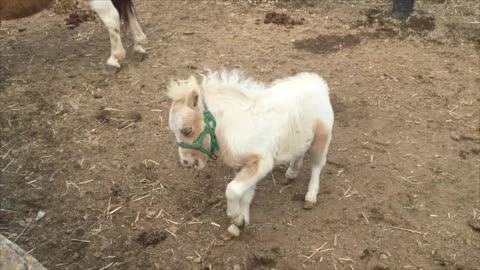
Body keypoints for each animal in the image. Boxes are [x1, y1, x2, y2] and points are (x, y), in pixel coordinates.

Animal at [168, 70, 334, 237]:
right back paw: (291, 174)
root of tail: (318, 81)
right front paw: (240, 224)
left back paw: (310, 197)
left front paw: (236, 219)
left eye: (187, 130)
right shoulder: (242, 166)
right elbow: (245, 195)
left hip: (321, 138)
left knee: (317, 164)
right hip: (299, 137)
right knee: (299, 152)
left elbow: (232, 190)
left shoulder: (261, 162)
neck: (233, 124)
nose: (186, 162)